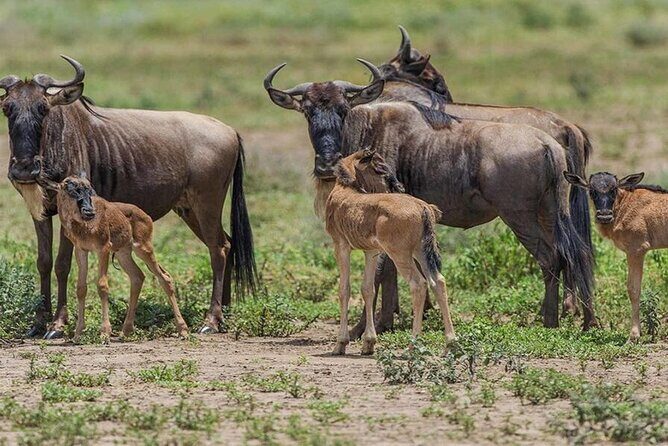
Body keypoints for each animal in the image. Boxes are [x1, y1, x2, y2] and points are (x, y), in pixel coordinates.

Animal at [54, 174, 188, 342]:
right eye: (71, 190)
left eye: (89, 190)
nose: (89, 212)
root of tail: (145, 216)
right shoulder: (81, 251)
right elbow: (81, 288)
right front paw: (78, 334)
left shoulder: (103, 249)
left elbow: (102, 285)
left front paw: (105, 333)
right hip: (122, 254)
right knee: (138, 276)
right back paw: (126, 330)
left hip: (143, 249)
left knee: (165, 277)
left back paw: (183, 330)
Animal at [325, 149, 455, 355]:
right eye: (379, 168)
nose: (399, 187)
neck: (345, 189)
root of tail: (423, 208)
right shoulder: (371, 252)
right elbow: (368, 288)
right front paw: (368, 343)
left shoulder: (341, 246)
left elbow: (344, 289)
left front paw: (340, 344)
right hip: (420, 252)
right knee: (438, 281)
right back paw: (451, 343)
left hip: (400, 255)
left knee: (418, 284)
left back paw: (413, 344)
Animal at [564, 170, 663, 342]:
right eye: (592, 191)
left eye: (614, 189)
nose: (604, 216)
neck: (624, 205)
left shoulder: (636, 250)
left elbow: (633, 290)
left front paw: (633, 336)